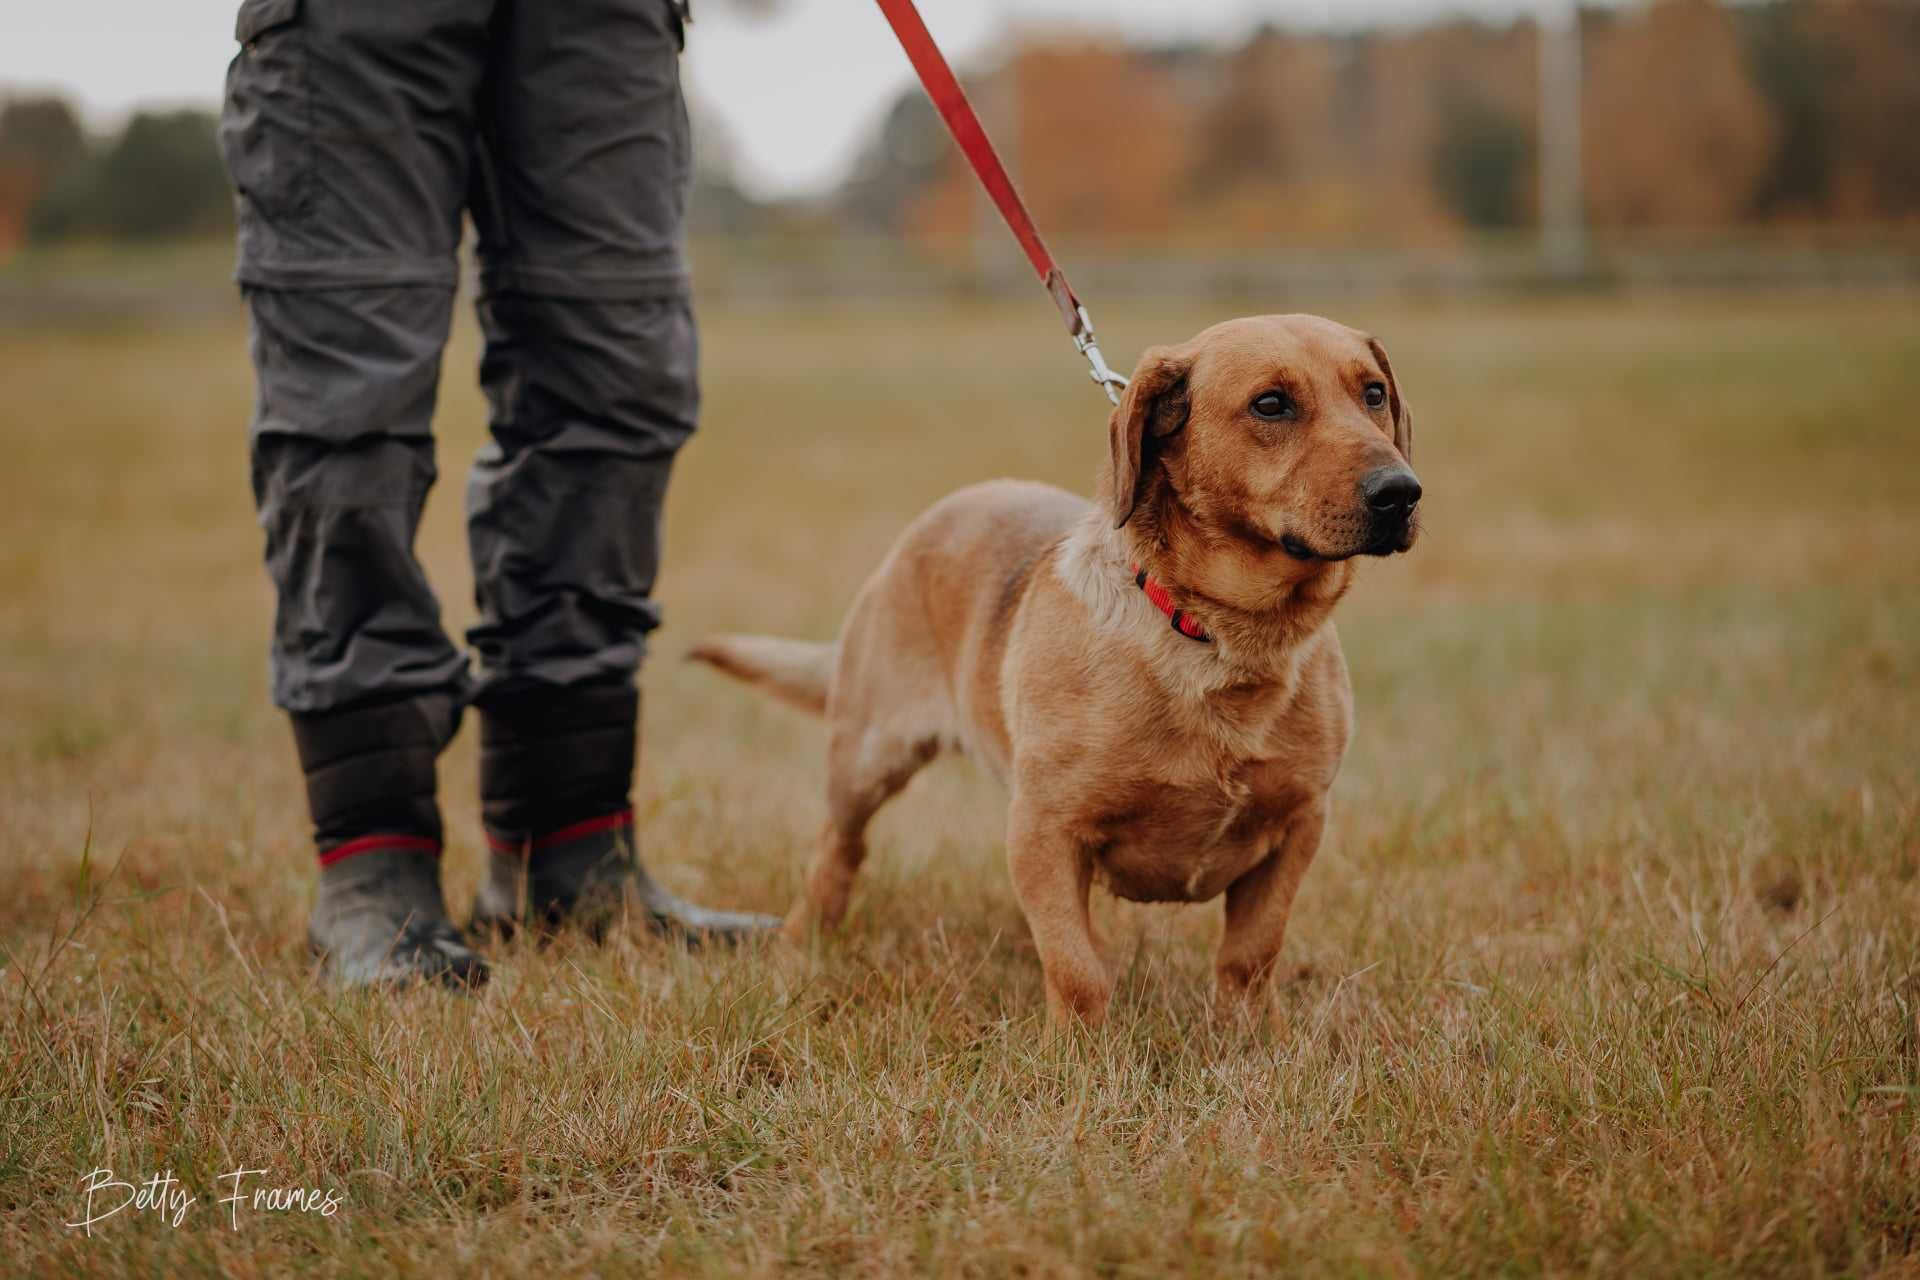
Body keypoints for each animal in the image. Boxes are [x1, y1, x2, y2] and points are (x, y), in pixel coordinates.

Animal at [691, 314, 1413, 1028]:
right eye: (1270, 404)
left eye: (1373, 393)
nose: (1402, 493)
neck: (1222, 640)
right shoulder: (1046, 829)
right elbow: (1075, 970)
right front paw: (1078, 1054)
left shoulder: (1298, 827)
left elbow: (1250, 954)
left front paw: (1247, 1035)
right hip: (866, 761)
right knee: (836, 852)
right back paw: (801, 947)